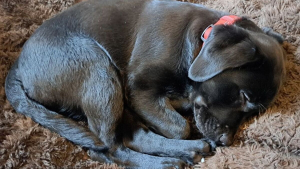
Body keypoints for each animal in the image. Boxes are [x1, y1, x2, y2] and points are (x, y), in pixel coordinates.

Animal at [5, 0, 284, 168]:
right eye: (243, 97)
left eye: (253, 111)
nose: (227, 141)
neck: (200, 38)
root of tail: (17, 65)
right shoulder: (139, 90)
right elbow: (180, 126)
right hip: (99, 70)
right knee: (106, 148)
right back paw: (168, 160)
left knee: (127, 136)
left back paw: (188, 150)